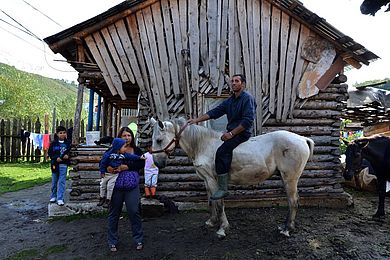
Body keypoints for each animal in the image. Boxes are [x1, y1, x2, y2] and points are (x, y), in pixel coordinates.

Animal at [151, 117, 316, 238]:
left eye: (159, 140)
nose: (157, 163)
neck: (203, 145)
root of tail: (302, 139)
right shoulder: (207, 180)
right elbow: (211, 201)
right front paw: (212, 221)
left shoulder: (213, 181)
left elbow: (219, 203)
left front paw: (222, 228)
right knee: (293, 200)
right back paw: (287, 226)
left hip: (290, 178)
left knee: (293, 201)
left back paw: (287, 229)